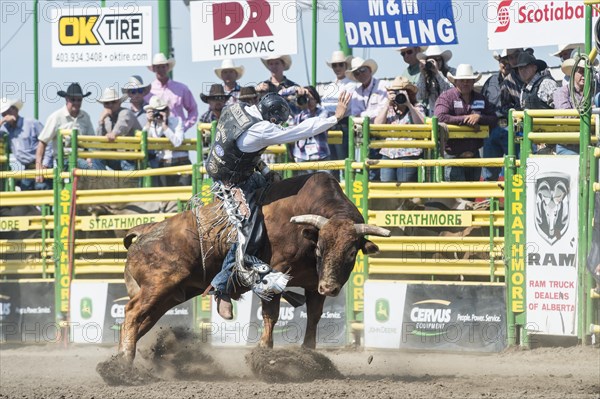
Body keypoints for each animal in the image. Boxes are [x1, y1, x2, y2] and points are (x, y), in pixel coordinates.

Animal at [118, 173, 390, 364]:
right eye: (320, 249)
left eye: (352, 253)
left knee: (141, 321)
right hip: (159, 286)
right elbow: (271, 314)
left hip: (170, 295)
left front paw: (308, 352)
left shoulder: (314, 285)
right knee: (132, 314)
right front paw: (264, 349)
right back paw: (122, 363)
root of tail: (145, 231)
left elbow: (314, 317)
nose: (330, 287)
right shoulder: (273, 275)